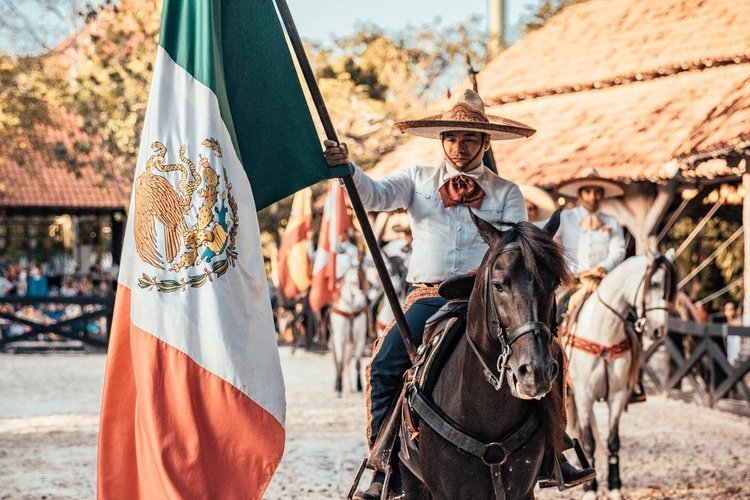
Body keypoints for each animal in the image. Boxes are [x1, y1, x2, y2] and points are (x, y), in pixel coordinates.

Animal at [330, 268, 368, 396]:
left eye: (364, 281)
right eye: (353, 283)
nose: (361, 303)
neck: (350, 310)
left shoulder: (360, 339)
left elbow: (357, 363)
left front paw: (360, 386)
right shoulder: (339, 338)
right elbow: (340, 363)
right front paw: (339, 387)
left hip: (349, 344)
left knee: (347, 362)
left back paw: (351, 386)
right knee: (338, 362)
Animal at [568, 256, 680, 498]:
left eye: (668, 289)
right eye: (654, 283)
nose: (659, 330)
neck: (603, 333)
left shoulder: (617, 396)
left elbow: (613, 442)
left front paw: (614, 487)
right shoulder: (583, 397)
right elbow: (589, 442)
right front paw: (590, 489)